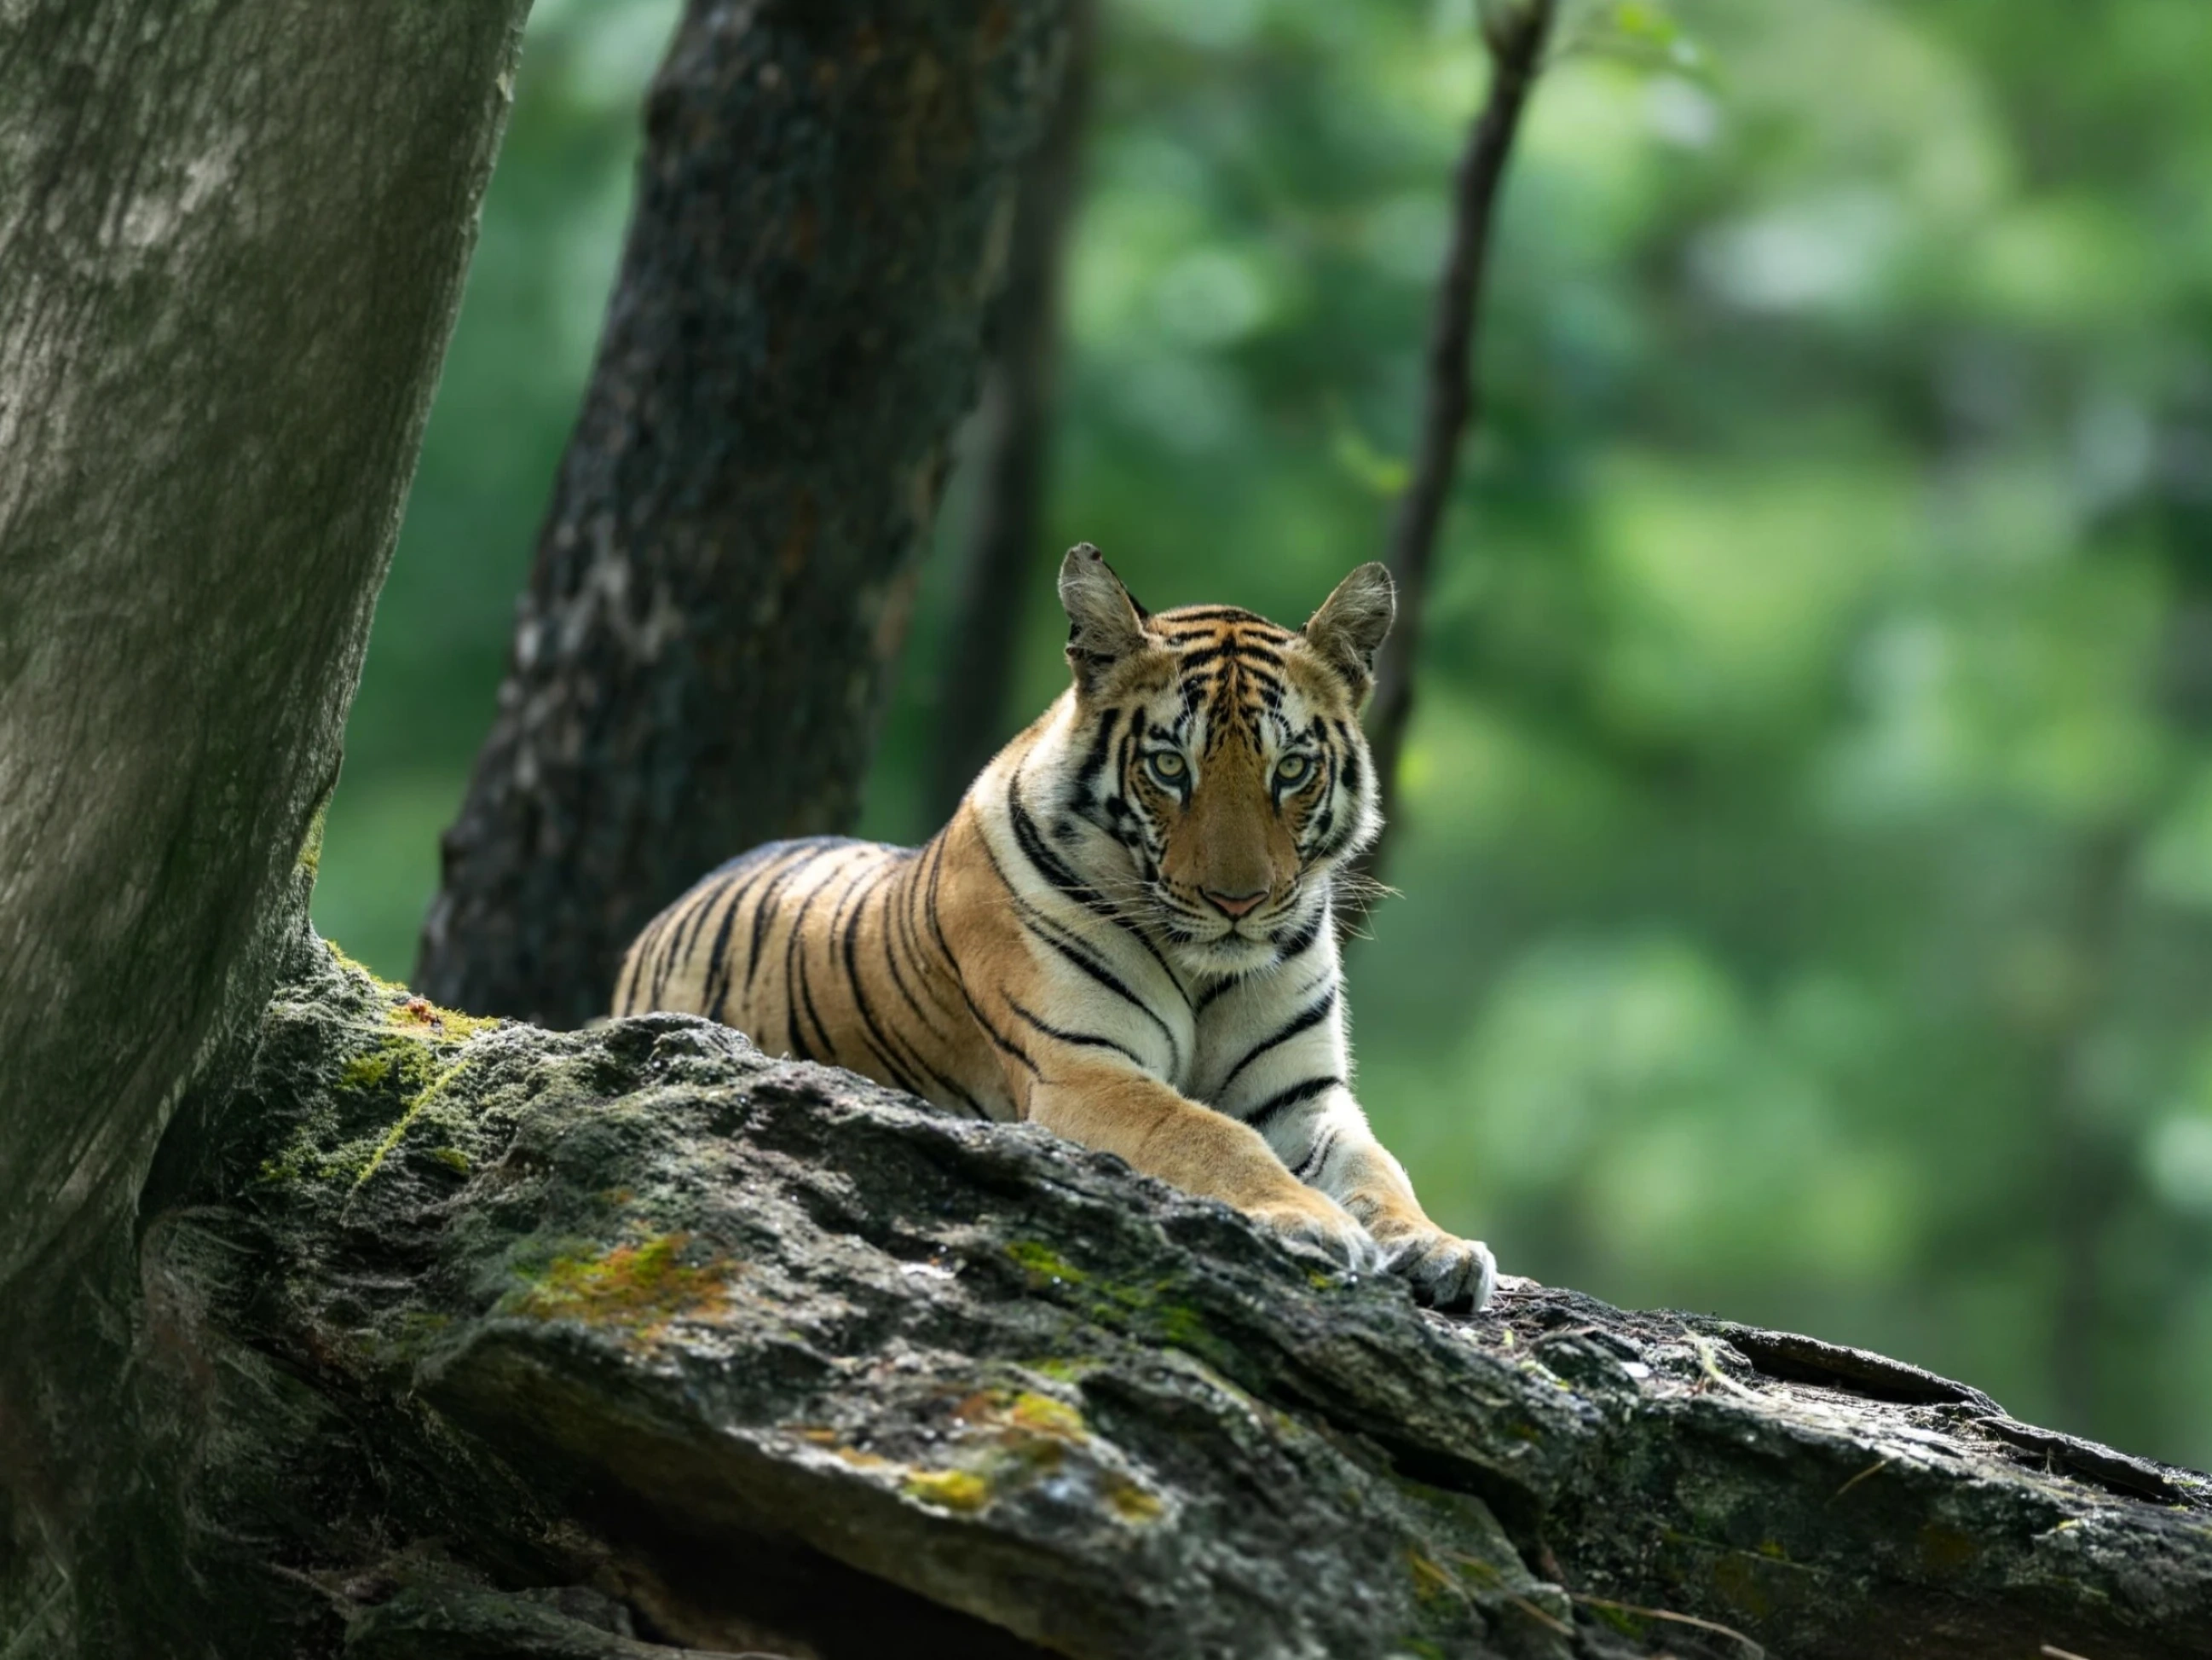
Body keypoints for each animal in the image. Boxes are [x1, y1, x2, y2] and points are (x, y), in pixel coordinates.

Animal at [613, 544, 1496, 1311]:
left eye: (1292, 770)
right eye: (1169, 767)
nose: (1238, 901)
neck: (1206, 972)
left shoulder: (1301, 1095)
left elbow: (1379, 1168)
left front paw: (1440, 1246)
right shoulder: (1084, 1068)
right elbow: (1207, 1134)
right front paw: (1314, 1222)